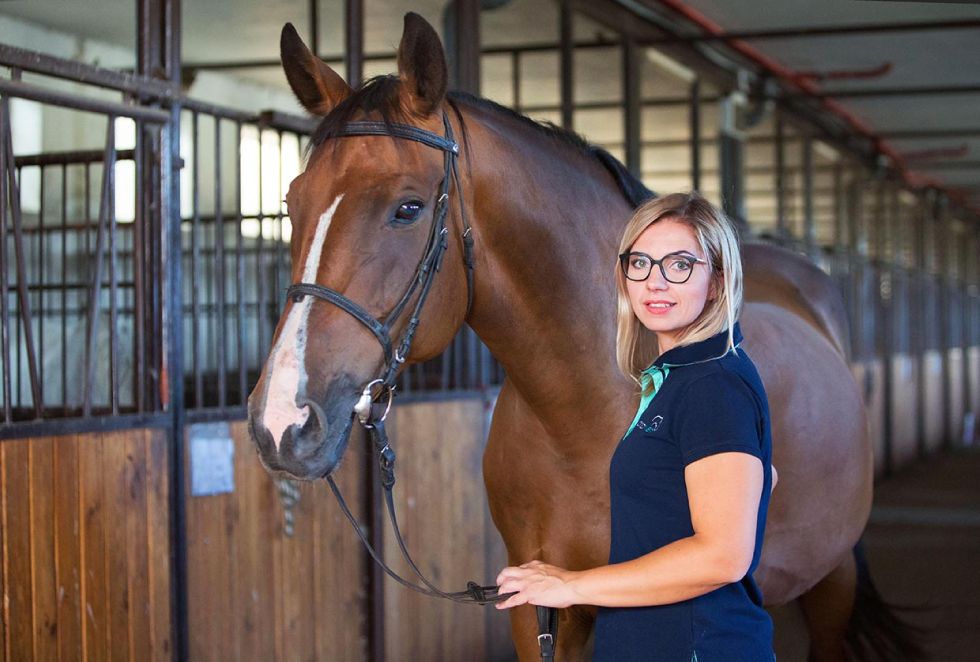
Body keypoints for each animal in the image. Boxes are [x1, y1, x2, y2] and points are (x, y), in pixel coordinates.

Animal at [249, 13, 924, 660]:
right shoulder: (541, 611)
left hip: (832, 580)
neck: (587, 410)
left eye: (408, 208)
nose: (280, 420)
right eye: (291, 202)